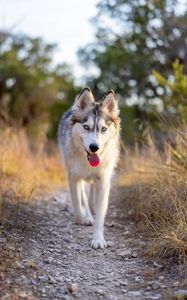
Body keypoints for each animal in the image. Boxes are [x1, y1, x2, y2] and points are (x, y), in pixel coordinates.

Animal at [57, 88, 120, 250]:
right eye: (86, 127)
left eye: (103, 129)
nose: (94, 147)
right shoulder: (73, 177)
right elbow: (77, 200)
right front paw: (81, 218)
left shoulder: (103, 182)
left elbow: (100, 215)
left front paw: (98, 239)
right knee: (83, 197)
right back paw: (86, 216)